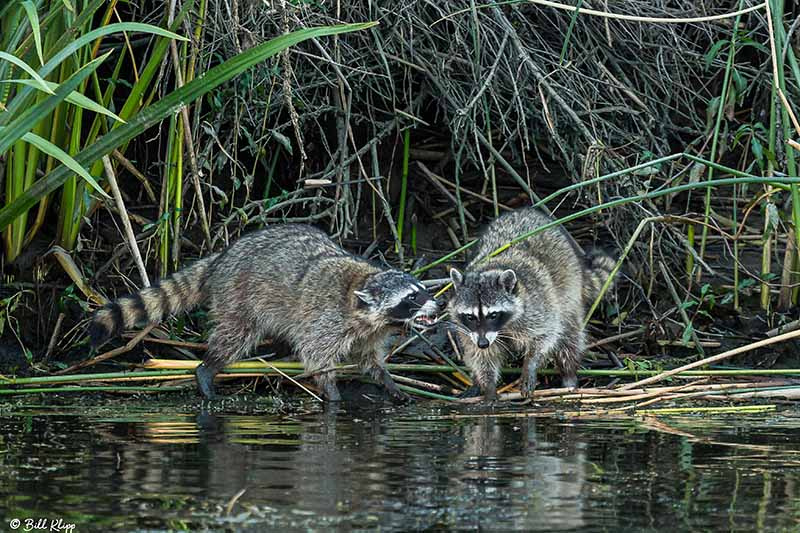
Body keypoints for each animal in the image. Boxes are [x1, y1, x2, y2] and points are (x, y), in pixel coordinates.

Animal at [89, 222, 438, 402]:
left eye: (422, 289)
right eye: (412, 298)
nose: (437, 304)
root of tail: (222, 257)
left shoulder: (371, 331)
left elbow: (369, 359)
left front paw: (388, 382)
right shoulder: (328, 320)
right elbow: (317, 356)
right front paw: (332, 394)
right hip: (239, 295)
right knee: (235, 335)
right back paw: (208, 368)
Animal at [446, 206, 616, 402]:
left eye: (493, 315)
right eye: (470, 316)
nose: (483, 343)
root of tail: (526, 210)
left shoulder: (538, 308)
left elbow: (545, 335)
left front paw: (530, 365)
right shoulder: (467, 330)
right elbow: (481, 356)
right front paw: (486, 385)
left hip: (569, 289)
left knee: (569, 336)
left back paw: (569, 375)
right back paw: (475, 383)